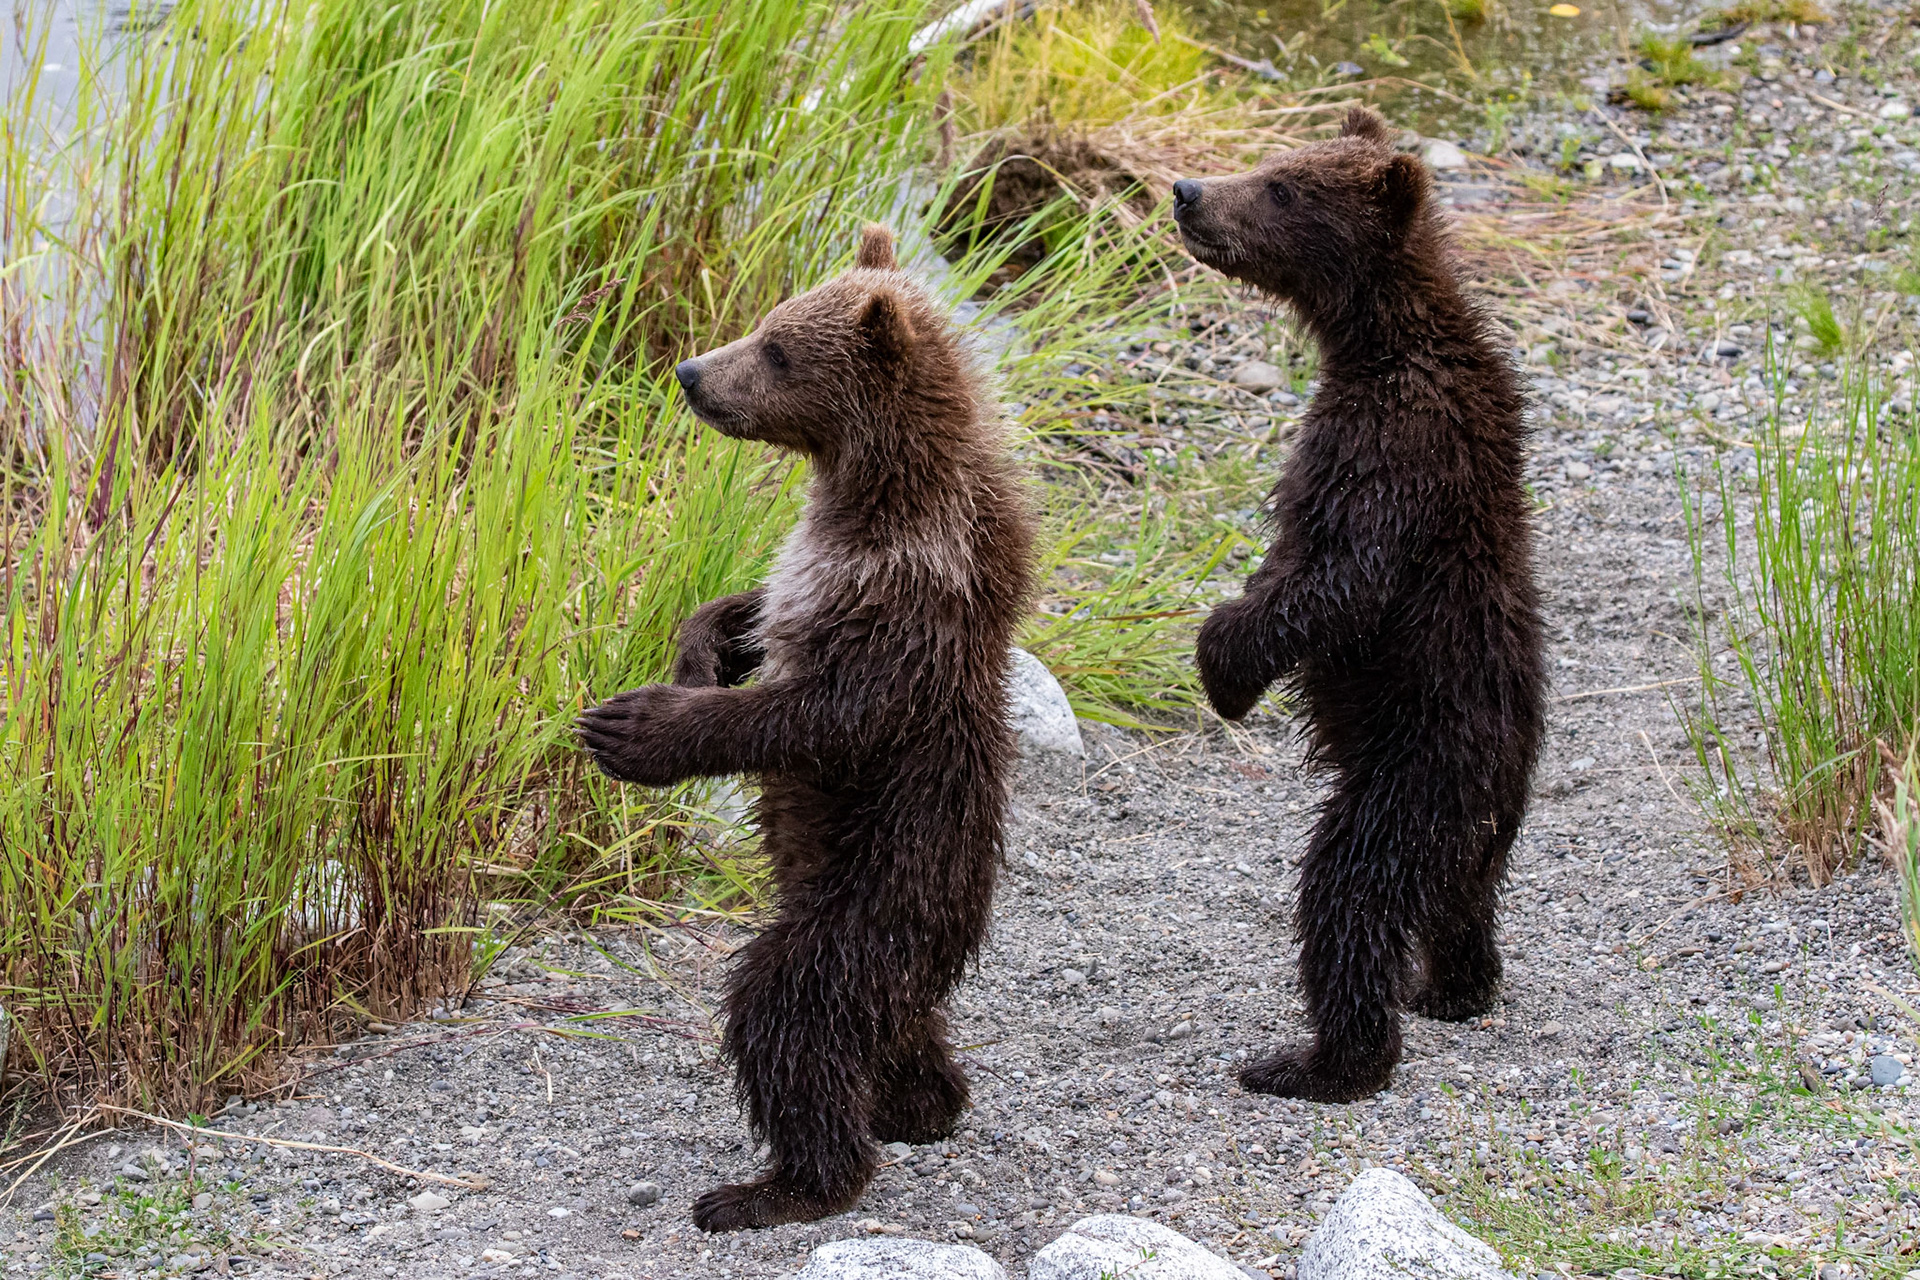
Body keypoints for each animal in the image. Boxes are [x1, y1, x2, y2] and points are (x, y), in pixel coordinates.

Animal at [577, 224, 1035, 1230]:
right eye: (765, 320)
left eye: (779, 348)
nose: (691, 372)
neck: (873, 489)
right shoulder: (822, 562)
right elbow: (754, 605)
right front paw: (701, 645)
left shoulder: (909, 604)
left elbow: (826, 714)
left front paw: (631, 725)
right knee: (896, 1022)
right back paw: (923, 1102)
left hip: (875, 892)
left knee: (792, 1010)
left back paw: (776, 1186)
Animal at [1168, 107, 1545, 1103]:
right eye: (1272, 160)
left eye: (1281, 187)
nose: (1186, 191)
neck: (1375, 339)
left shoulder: (1395, 443)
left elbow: (1340, 578)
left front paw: (1223, 666)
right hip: (1466, 826)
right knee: (1462, 903)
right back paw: (1450, 988)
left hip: (1407, 777)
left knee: (1347, 896)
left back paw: (1316, 1060)